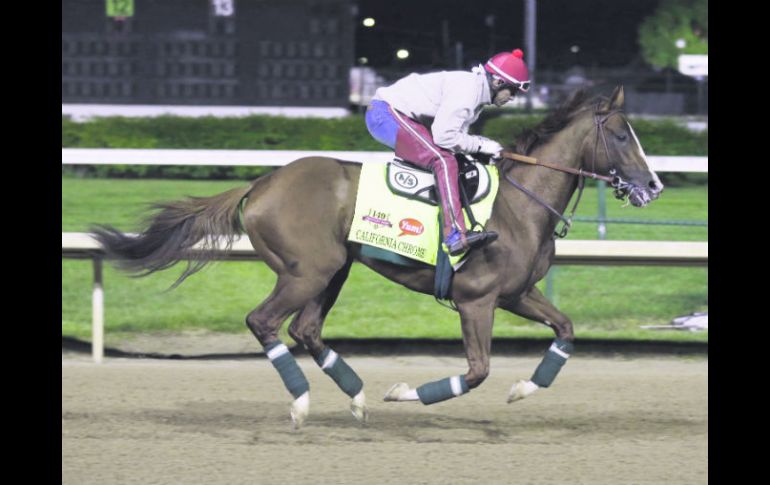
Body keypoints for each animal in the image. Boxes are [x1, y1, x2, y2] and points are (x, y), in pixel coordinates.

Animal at [94, 87, 660, 428]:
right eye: (620, 134)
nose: (653, 186)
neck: (519, 205)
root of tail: (260, 184)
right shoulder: (477, 300)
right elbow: (476, 371)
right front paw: (402, 393)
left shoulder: (518, 293)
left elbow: (565, 329)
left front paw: (523, 389)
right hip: (307, 271)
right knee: (264, 322)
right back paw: (302, 403)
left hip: (333, 270)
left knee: (305, 329)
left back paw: (355, 398)